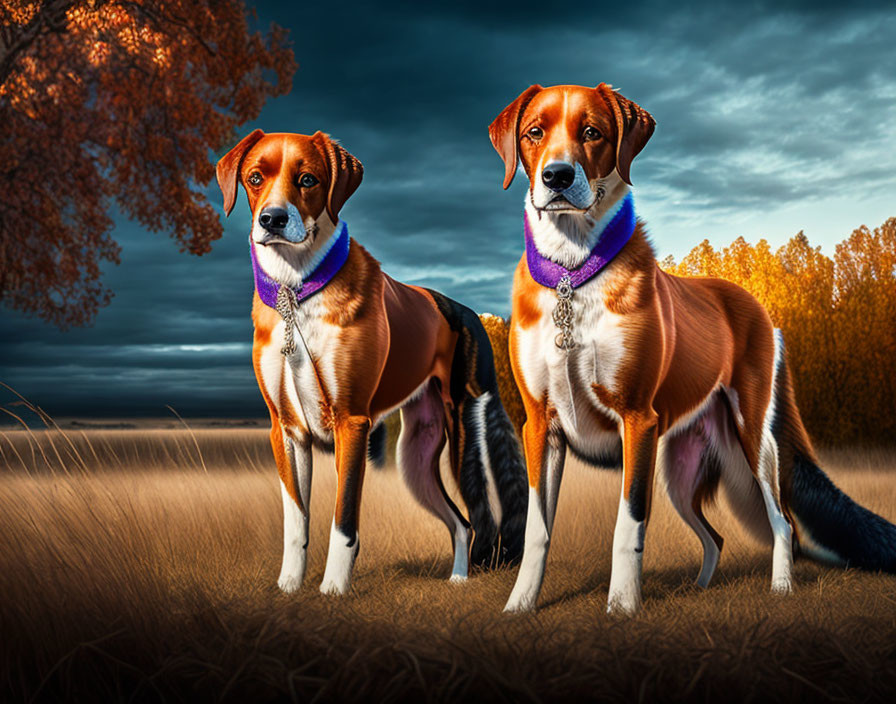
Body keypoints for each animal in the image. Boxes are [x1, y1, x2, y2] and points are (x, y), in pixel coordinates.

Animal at [214, 131, 528, 592]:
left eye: (308, 179)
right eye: (255, 178)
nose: (272, 219)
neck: (297, 292)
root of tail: (465, 311)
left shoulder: (352, 423)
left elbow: (343, 517)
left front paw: (333, 590)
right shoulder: (287, 431)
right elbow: (296, 518)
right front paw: (289, 586)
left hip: (464, 434)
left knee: (480, 514)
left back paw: (469, 576)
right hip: (415, 457)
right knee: (459, 521)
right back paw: (455, 577)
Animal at [490, 84, 896, 616]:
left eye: (593, 132)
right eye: (534, 132)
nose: (557, 175)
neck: (572, 274)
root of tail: (754, 302)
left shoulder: (637, 420)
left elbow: (628, 526)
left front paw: (622, 608)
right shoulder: (541, 424)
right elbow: (537, 529)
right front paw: (520, 606)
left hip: (752, 440)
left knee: (783, 521)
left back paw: (781, 588)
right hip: (679, 472)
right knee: (715, 536)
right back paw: (701, 590)